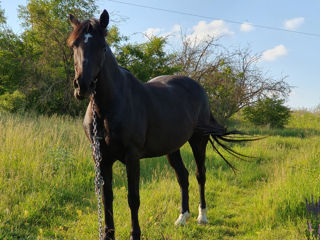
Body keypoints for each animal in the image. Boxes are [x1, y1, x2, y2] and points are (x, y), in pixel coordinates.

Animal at [68, 9, 248, 240]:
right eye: (74, 45)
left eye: (103, 47)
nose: (82, 86)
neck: (108, 108)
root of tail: (198, 88)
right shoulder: (101, 158)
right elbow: (107, 199)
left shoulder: (132, 156)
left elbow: (133, 198)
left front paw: (135, 234)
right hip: (172, 147)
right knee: (183, 177)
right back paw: (182, 217)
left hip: (198, 141)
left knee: (200, 175)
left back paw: (202, 217)